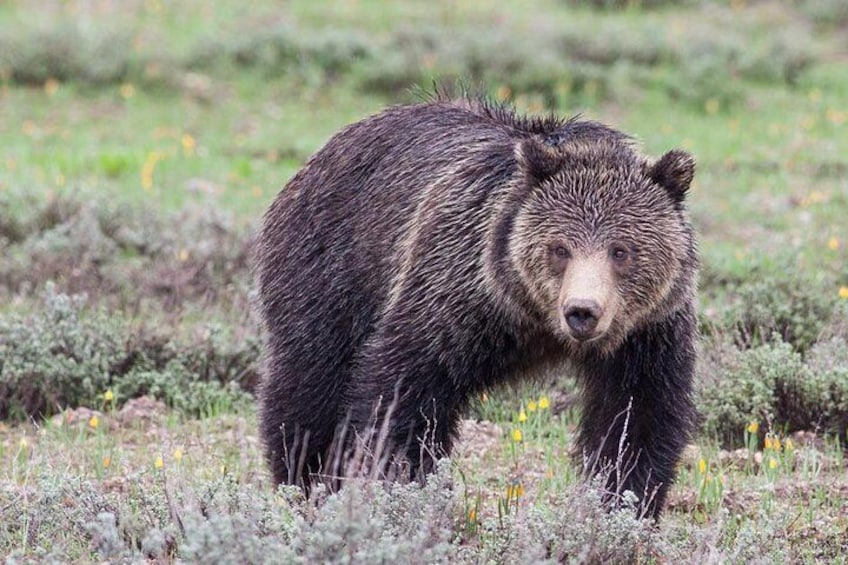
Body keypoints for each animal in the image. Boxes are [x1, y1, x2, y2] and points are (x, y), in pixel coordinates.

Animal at [254, 94, 698, 517]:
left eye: (621, 250)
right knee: (311, 382)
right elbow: (402, 392)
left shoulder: (647, 333)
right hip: (332, 270)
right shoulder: (457, 292)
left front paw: (625, 503)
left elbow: (637, 417)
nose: (582, 311)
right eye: (559, 248)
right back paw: (306, 479)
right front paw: (401, 487)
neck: (535, 324)